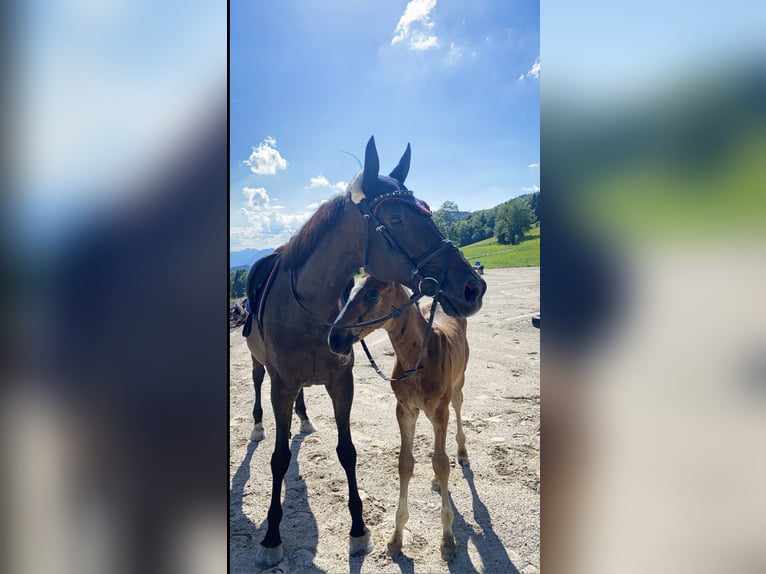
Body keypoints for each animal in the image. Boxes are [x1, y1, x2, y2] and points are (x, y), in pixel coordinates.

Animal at [328, 276, 472, 564]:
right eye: (350, 291)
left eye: (372, 295)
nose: (334, 338)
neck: (419, 358)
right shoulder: (405, 410)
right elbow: (405, 464)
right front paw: (396, 538)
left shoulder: (440, 411)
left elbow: (441, 463)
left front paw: (448, 540)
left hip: (458, 382)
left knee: (459, 406)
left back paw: (461, 453)